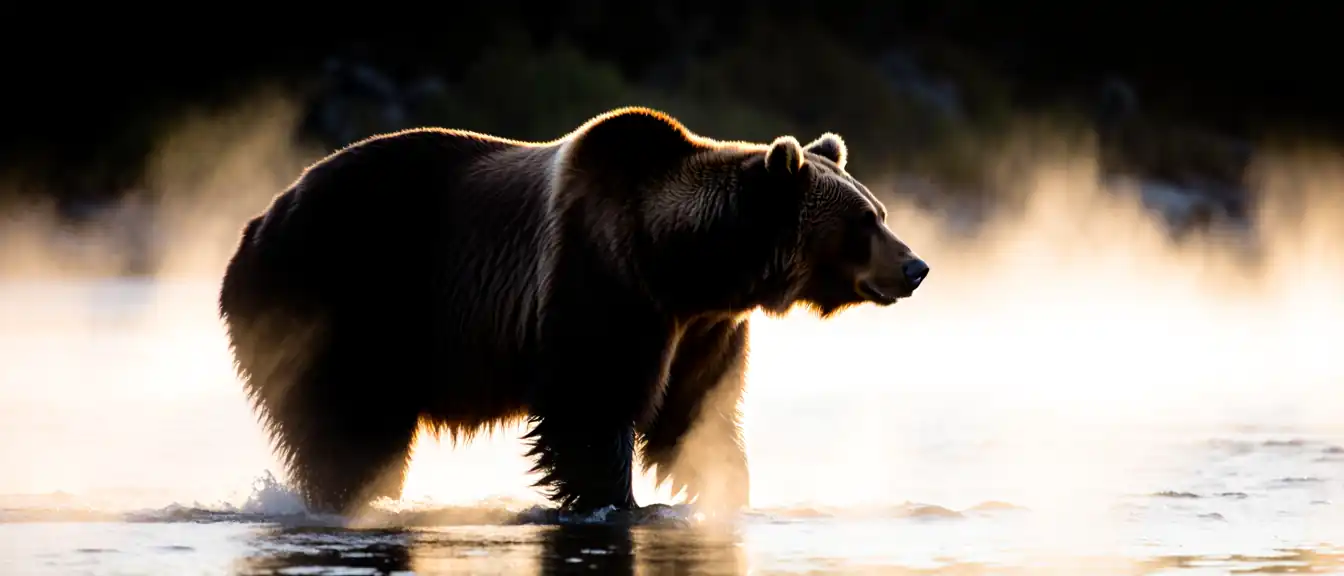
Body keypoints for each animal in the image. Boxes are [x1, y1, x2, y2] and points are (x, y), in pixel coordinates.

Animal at [217, 106, 930, 518]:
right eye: (864, 222)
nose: (916, 267)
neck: (685, 265)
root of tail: (255, 224)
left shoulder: (703, 327)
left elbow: (698, 412)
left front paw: (722, 485)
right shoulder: (602, 282)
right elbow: (589, 406)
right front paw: (613, 501)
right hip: (333, 300)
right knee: (350, 426)